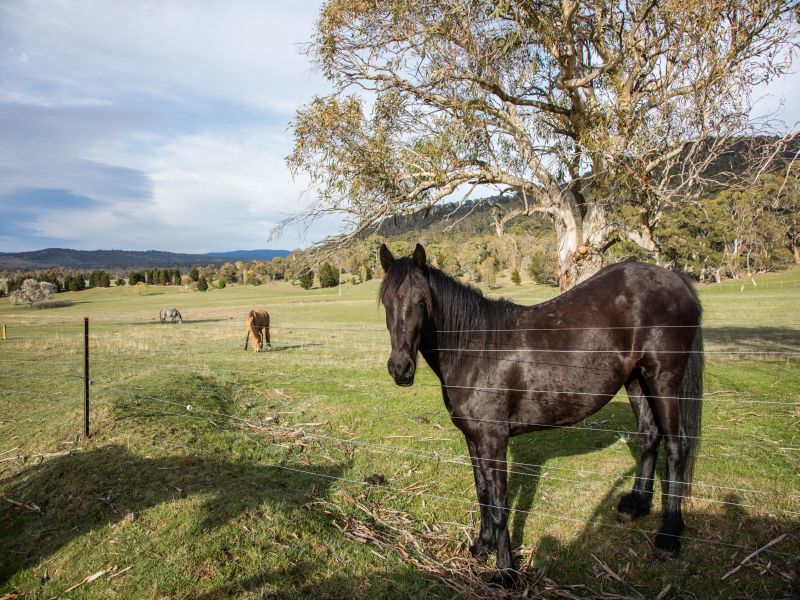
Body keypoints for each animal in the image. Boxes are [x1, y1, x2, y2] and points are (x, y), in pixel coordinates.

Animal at [378, 243, 703, 583]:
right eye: (386, 301)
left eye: (421, 300)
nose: (400, 368)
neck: (475, 349)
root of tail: (676, 280)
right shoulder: (473, 438)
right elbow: (482, 492)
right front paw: (482, 546)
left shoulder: (493, 440)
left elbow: (499, 505)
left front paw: (505, 571)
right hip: (637, 380)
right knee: (649, 436)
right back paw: (637, 504)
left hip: (663, 379)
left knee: (676, 445)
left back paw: (669, 534)